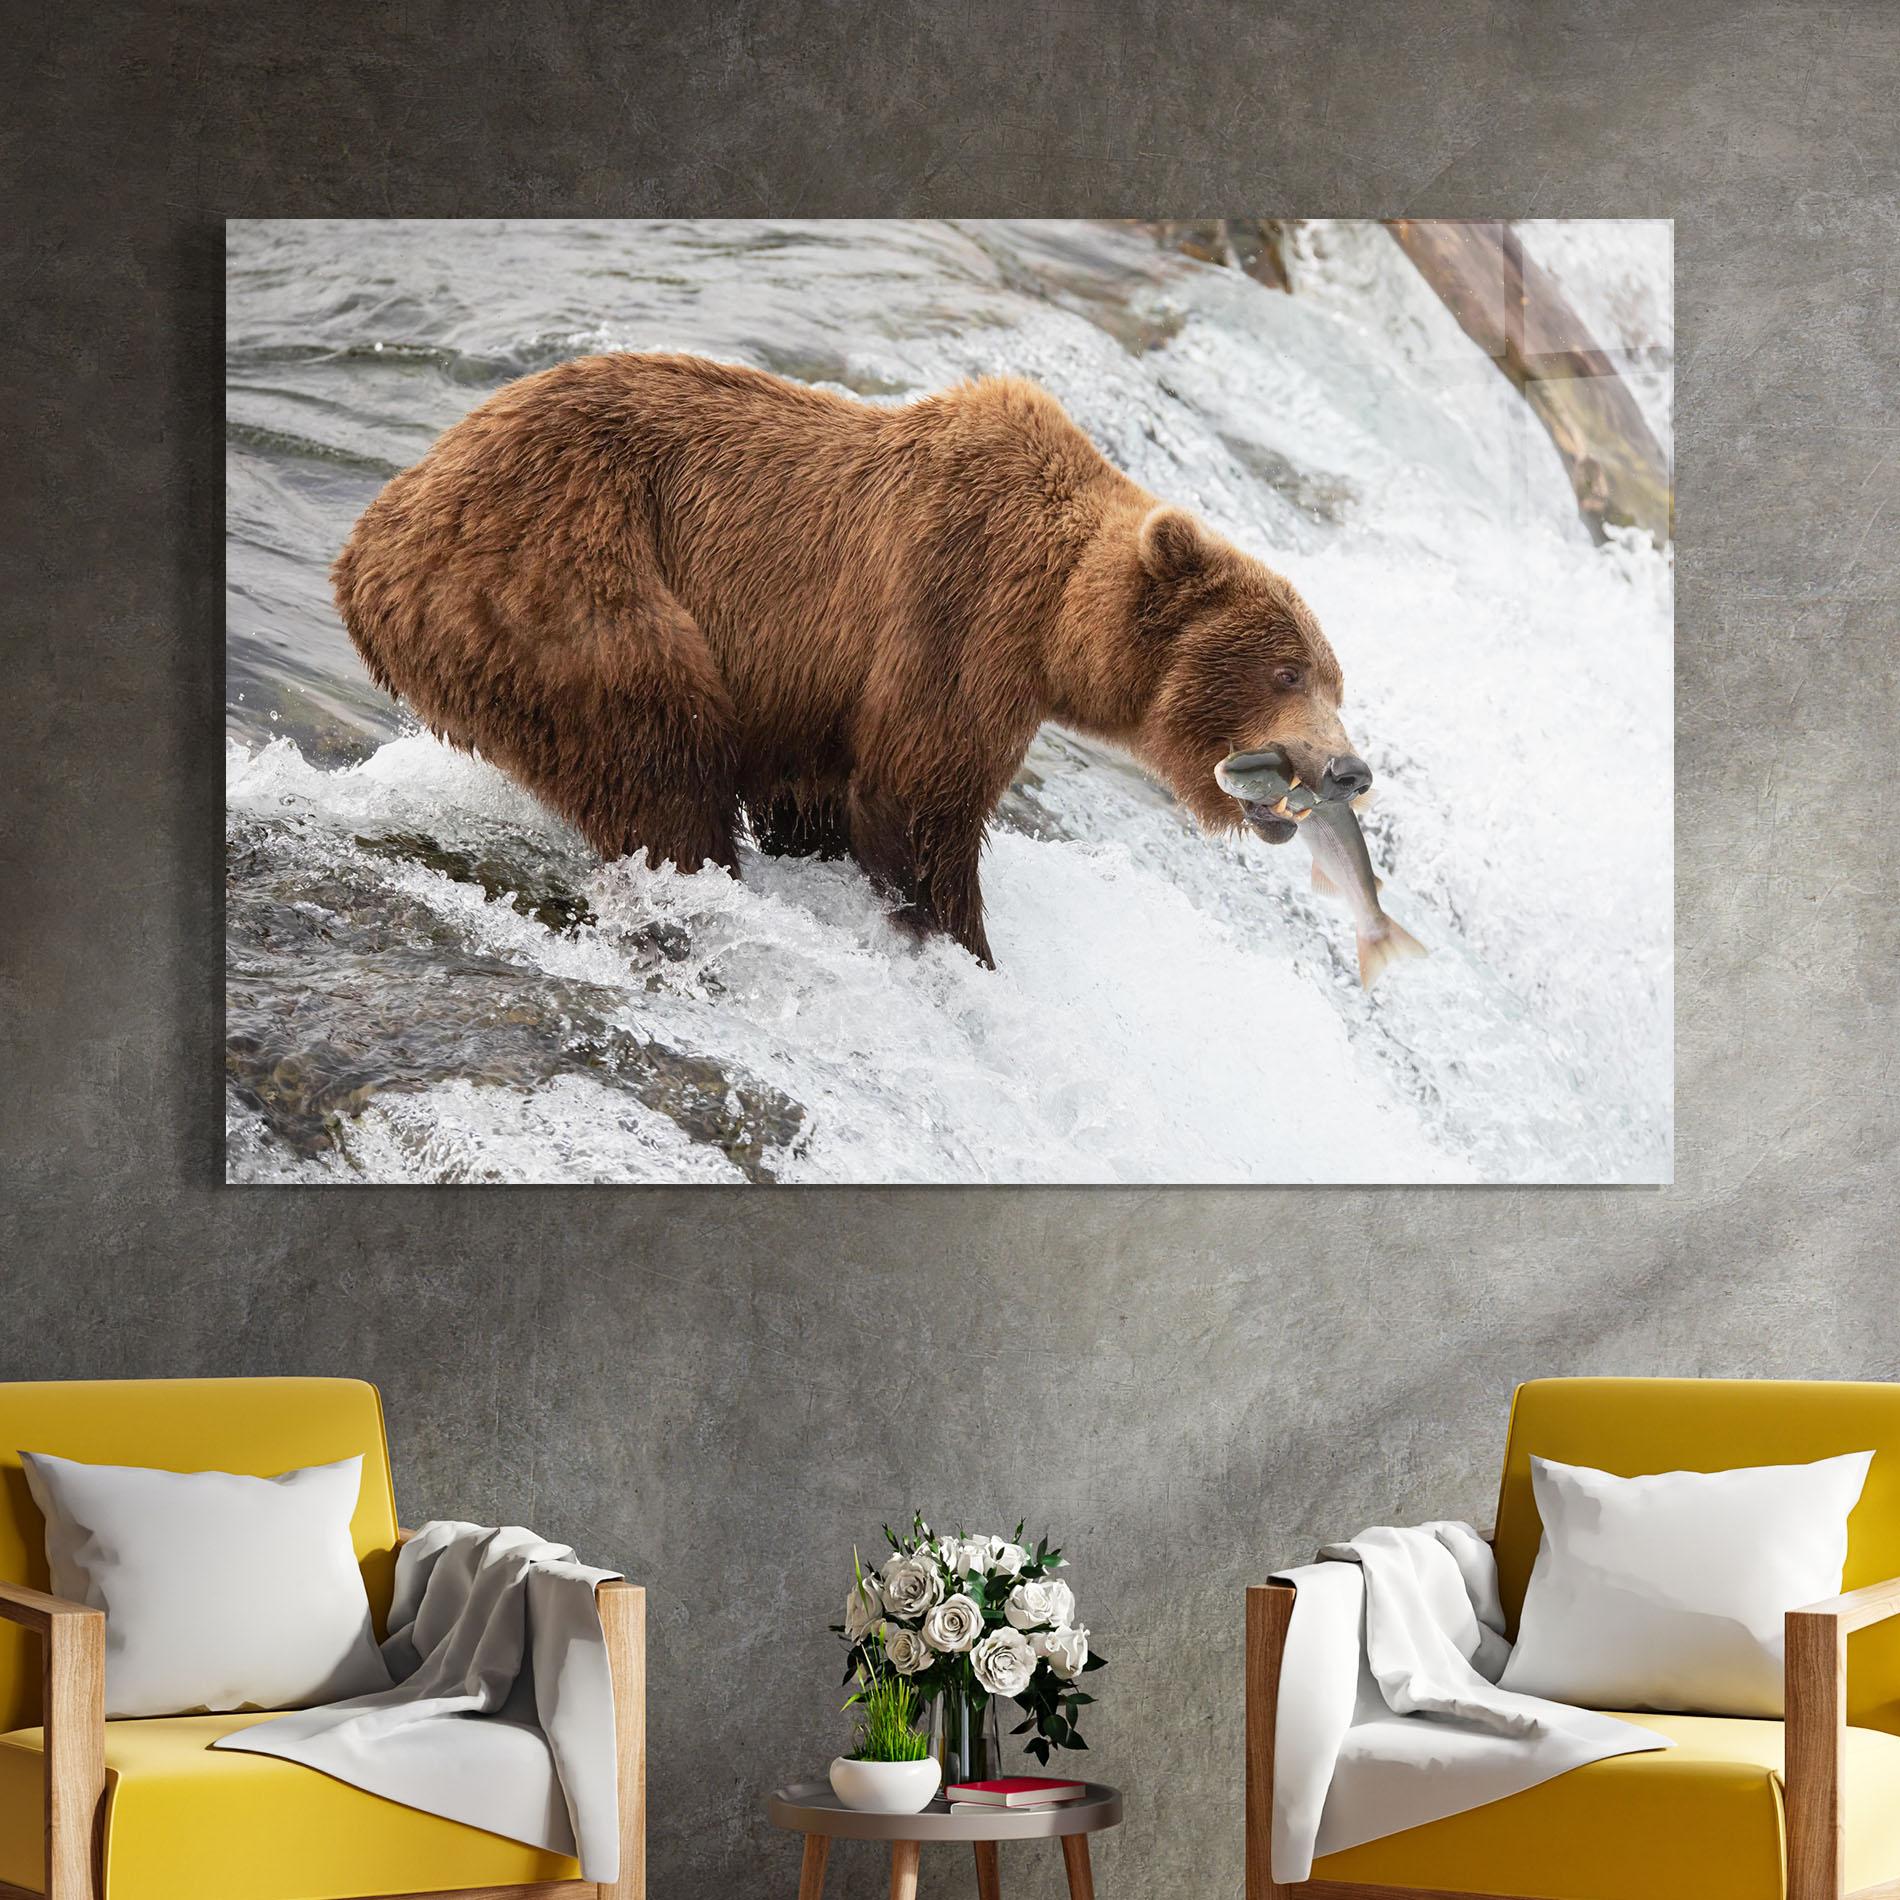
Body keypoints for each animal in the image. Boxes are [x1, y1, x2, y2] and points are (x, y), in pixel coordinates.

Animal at [334, 352, 1371, 968]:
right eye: (1287, 671)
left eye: (1335, 679)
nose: (1349, 770)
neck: (1056, 623)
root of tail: (368, 543)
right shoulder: (956, 613)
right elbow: (918, 802)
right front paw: (962, 945)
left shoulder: (815, 693)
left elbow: (821, 797)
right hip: (562, 583)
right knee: (658, 757)